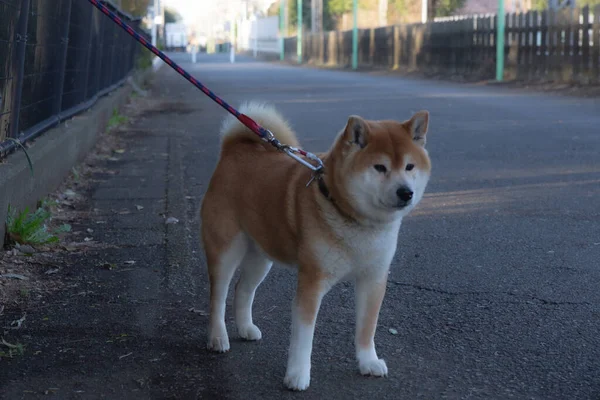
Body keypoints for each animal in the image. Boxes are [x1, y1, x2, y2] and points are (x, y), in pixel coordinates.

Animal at [202, 101, 432, 390]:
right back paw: (217, 337)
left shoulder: (373, 279)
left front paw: (368, 362)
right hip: (226, 250)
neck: (355, 219)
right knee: (218, 296)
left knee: (242, 289)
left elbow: (367, 328)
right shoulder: (312, 281)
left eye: (410, 166)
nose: (406, 192)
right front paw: (297, 375)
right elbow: (303, 337)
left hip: (261, 255)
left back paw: (245, 328)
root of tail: (233, 150)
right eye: (380, 167)